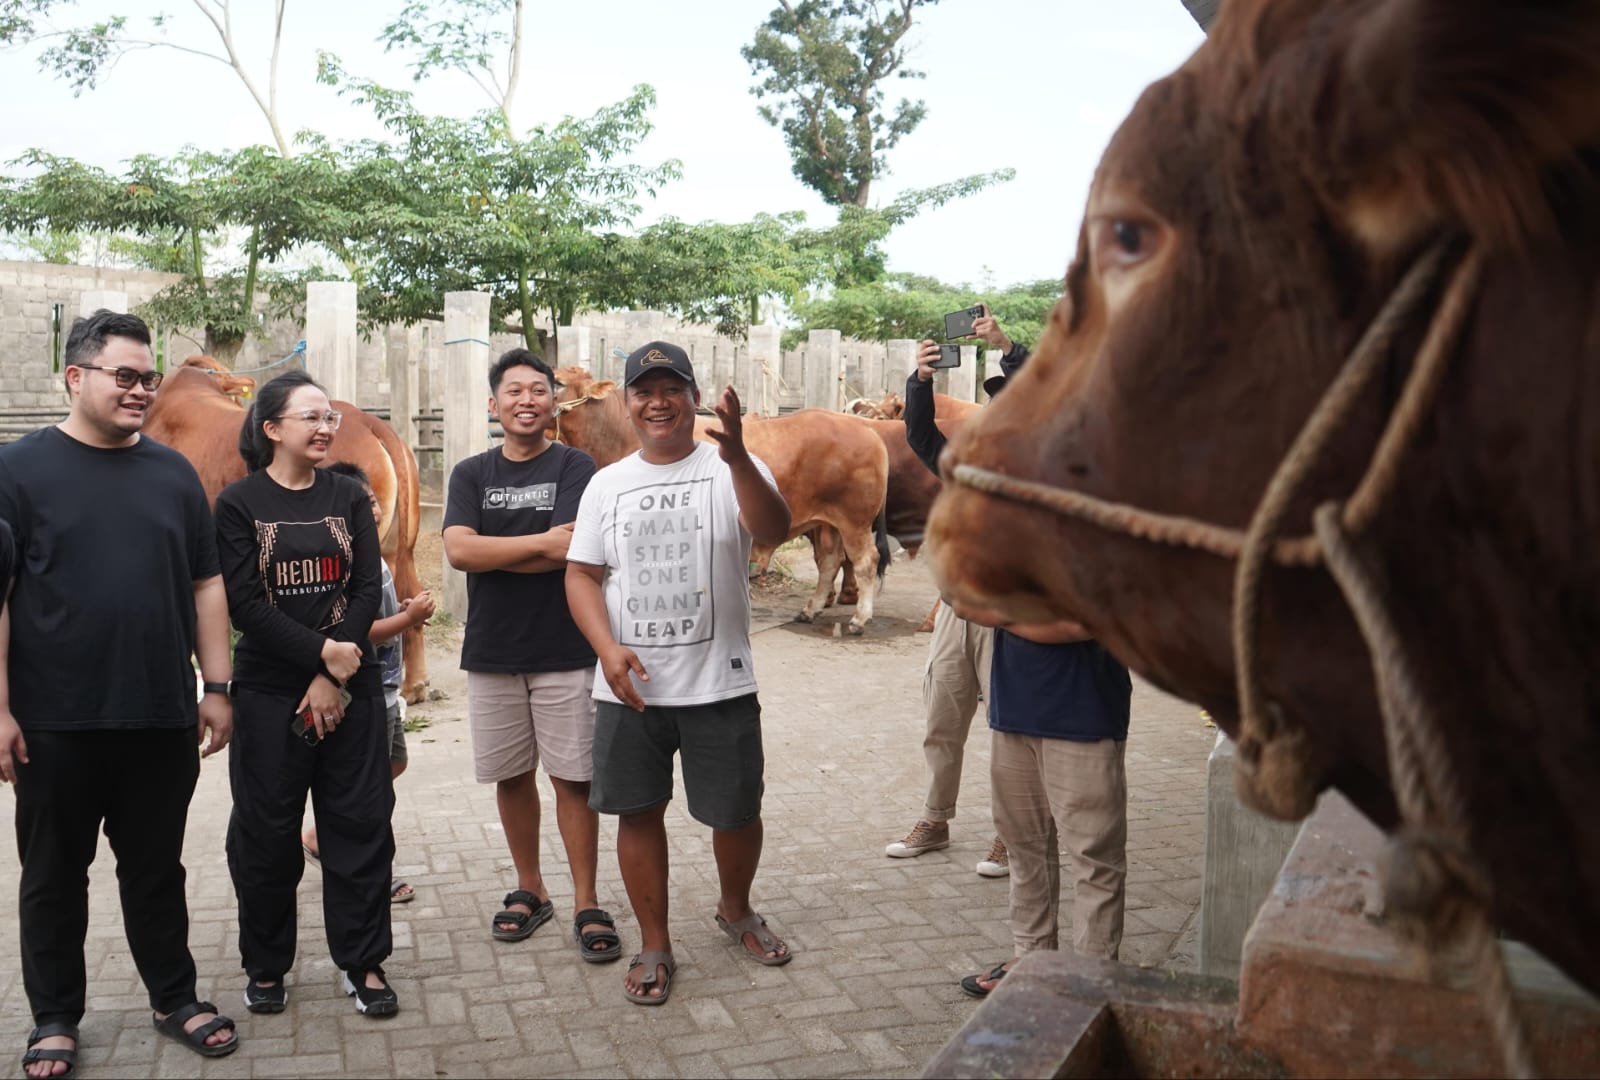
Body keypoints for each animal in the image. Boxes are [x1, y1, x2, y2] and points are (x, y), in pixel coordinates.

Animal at [556, 368, 896, 633]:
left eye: (558, 382)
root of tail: (867, 430)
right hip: (830, 523)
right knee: (830, 562)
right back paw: (810, 609)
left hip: (854, 521)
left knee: (865, 561)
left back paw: (859, 619)